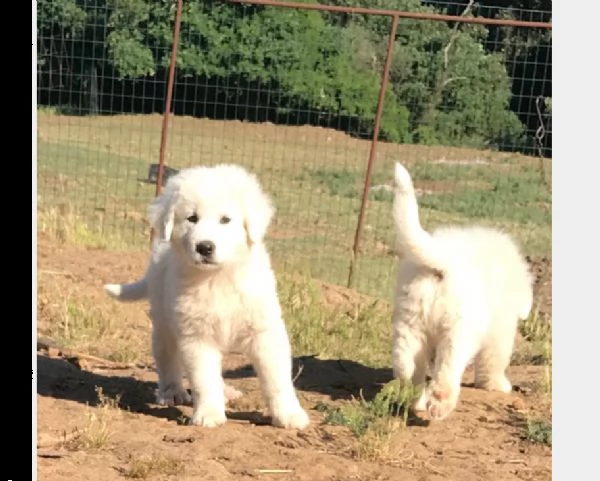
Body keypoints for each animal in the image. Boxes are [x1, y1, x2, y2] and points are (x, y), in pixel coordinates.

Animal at [104, 163, 310, 430]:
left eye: (225, 220)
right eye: (192, 218)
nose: (204, 247)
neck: (218, 277)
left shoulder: (264, 331)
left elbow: (277, 379)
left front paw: (289, 415)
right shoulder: (196, 336)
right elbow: (204, 380)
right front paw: (209, 415)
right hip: (164, 321)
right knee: (167, 358)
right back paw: (172, 392)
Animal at [392, 162, 532, 420]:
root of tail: (444, 260)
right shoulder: (500, 329)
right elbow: (494, 360)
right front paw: (498, 385)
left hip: (410, 322)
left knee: (407, 366)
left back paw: (416, 401)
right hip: (459, 331)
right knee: (447, 370)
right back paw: (439, 404)